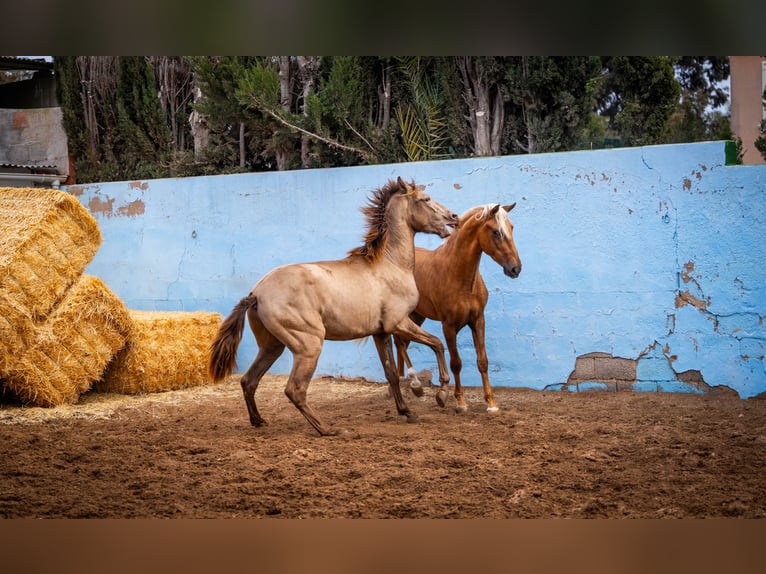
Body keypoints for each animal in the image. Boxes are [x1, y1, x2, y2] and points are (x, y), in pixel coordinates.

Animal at [208, 178, 462, 438]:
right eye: (425, 199)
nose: (454, 217)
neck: (390, 265)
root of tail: (257, 293)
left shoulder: (381, 332)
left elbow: (391, 373)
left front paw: (407, 412)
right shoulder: (399, 323)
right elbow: (437, 343)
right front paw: (441, 394)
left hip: (272, 346)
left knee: (249, 380)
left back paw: (259, 421)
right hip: (308, 345)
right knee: (294, 389)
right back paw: (327, 429)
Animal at [396, 205, 520, 416]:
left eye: (511, 228)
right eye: (496, 232)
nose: (515, 268)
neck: (457, 274)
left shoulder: (478, 320)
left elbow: (483, 361)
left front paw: (491, 403)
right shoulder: (449, 326)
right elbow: (456, 363)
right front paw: (460, 402)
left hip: (417, 315)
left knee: (402, 343)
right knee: (399, 342)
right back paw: (411, 385)